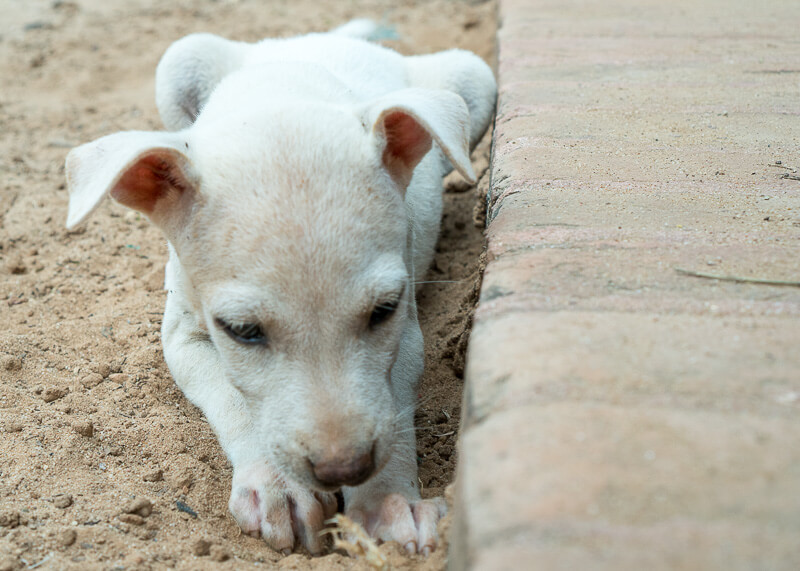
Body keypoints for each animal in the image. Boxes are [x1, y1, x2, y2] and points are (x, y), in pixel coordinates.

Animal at [65, 22, 496, 560]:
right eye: (242, 331)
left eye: (384, 310)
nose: (343, 469)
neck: (278, 99)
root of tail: (331, 34)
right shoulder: (183, 333)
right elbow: (234, 399)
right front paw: (280, 490)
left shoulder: (407, 330)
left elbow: (392, 400)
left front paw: (389, 502)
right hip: (179, 61)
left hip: (474, 79)